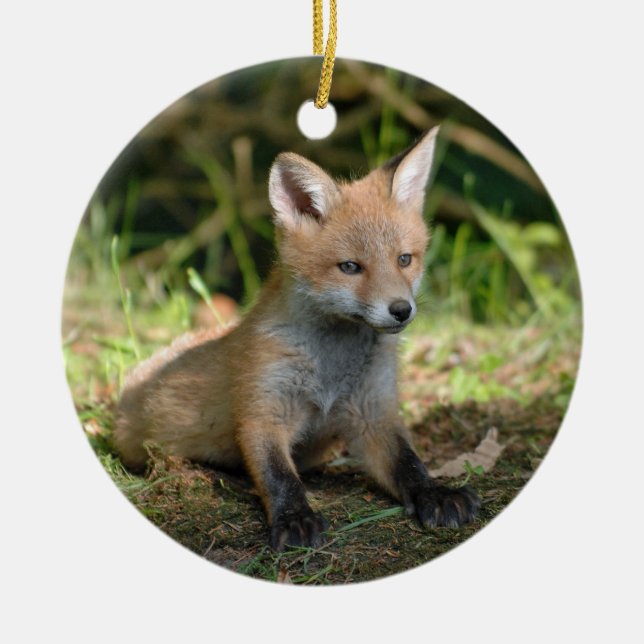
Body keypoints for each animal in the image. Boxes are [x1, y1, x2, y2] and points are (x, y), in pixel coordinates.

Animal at [113, 127, 480, 551]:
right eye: (350, 267)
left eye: (405, 259)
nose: (401, 310)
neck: (331, 365)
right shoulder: (263, 410)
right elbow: (279, 475)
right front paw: (295, 518)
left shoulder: (373, 412)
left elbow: (409, 463)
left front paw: (436, 493)